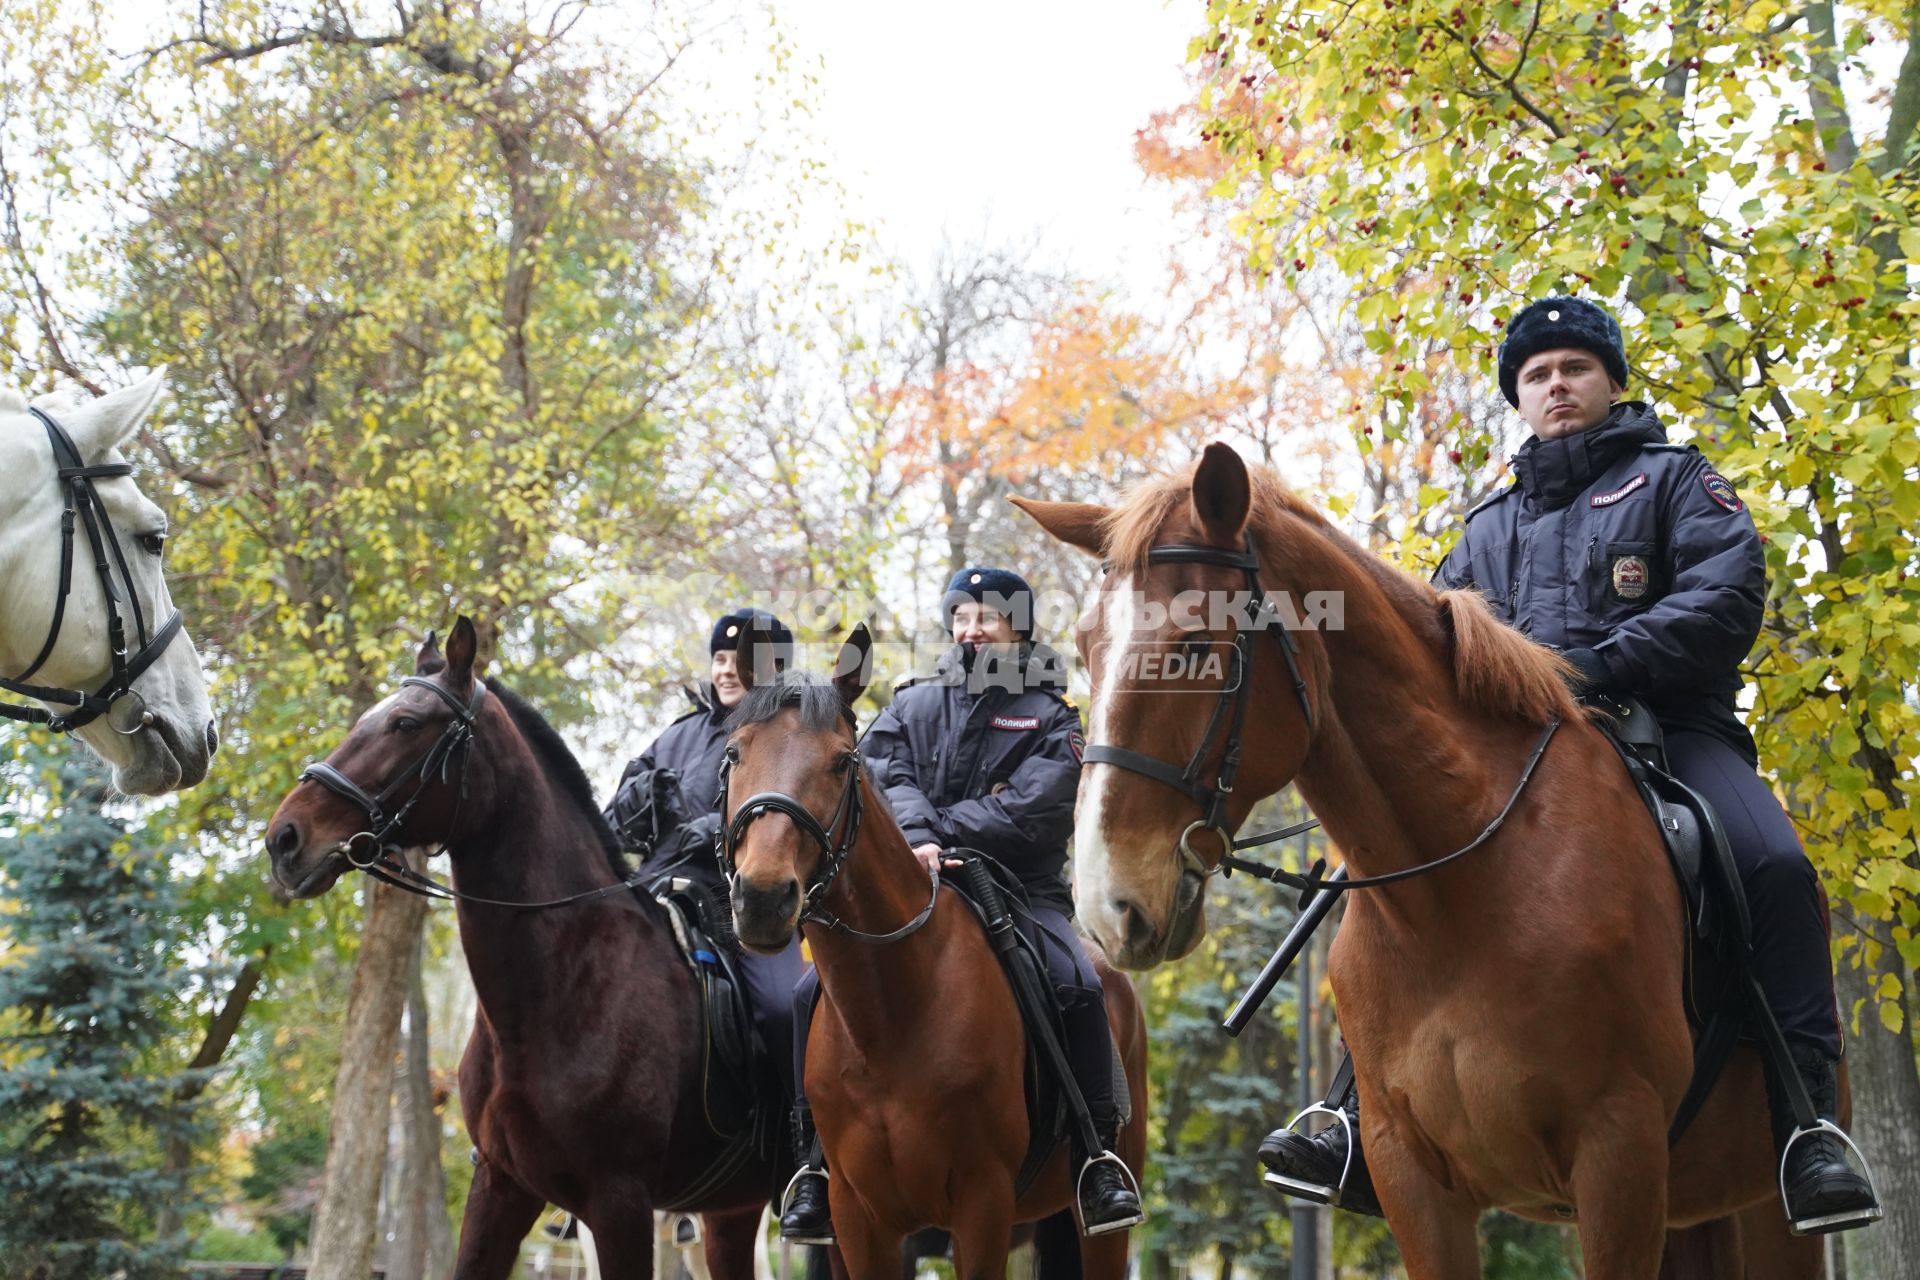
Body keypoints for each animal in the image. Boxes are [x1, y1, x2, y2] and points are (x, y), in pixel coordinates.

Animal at [718, 629, 1136, 1280]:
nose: (762, 898)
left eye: (843, 761)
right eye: (735, 753)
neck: (892, 1016)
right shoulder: (857, 1220)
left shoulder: (983, 1206)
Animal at [1021, 443, 1843, 1280]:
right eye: (1085, 650)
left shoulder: (1621, 1158)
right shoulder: (1410, 1176)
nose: (1108, 907)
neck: (1461, 900)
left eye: (1193, 647)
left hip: (1762, 1216)